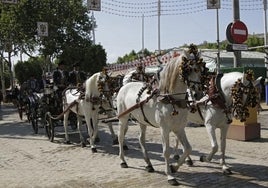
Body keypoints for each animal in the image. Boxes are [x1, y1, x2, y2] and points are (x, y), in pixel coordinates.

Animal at [116, 45, 206, 185]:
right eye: (190, 69)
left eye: (201, 69)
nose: (198, 94)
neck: (171, 98)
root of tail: (126, 84)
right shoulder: (164, 128)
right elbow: (166, 151)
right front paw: (170, 175)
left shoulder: (179, 128)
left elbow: (188, 148)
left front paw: (174, 167)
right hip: (123, 118)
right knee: (120, 137)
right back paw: (123, 161)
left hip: (142, 121)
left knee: (141, 139)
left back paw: (149, 164)